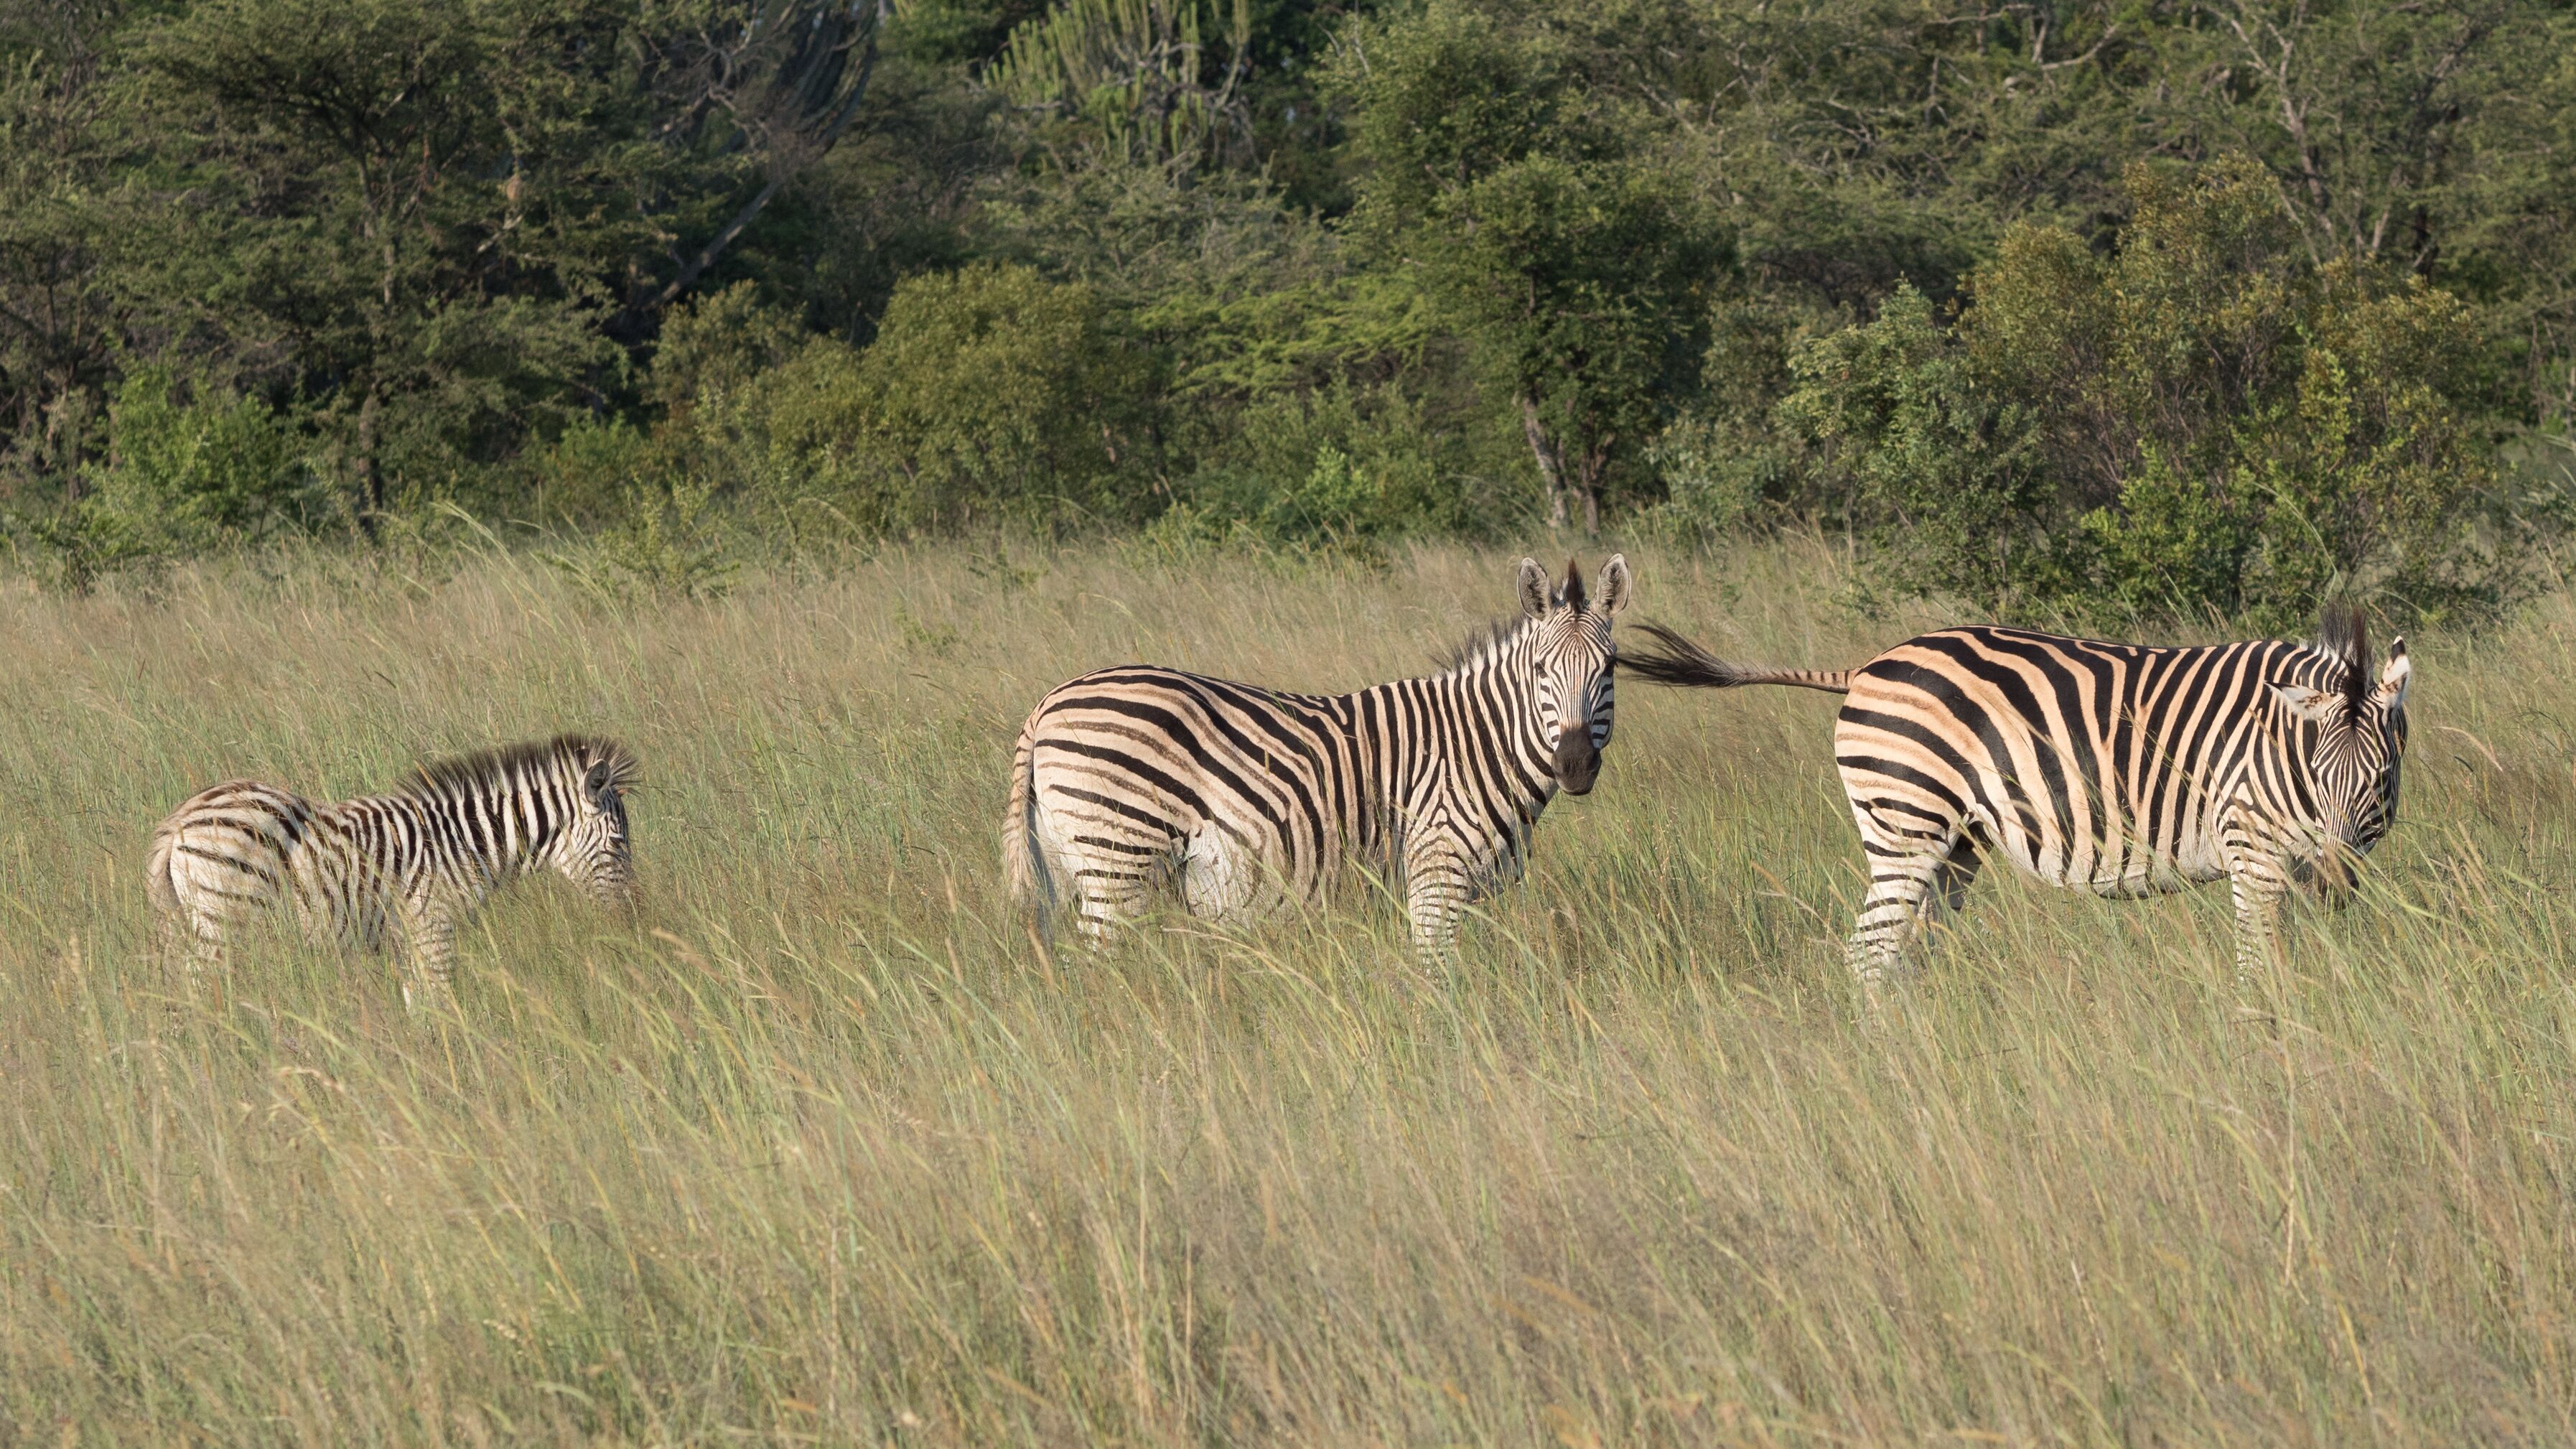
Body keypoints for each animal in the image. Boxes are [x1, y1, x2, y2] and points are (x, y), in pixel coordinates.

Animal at [147, 735, 639, 1005]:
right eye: (619, 844)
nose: (630, 921)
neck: (463, 844)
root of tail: (180, 819)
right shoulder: (433, 927)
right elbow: (439, 1005)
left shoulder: (409, 940)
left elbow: (416, 1005)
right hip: (223, 920)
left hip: (192, 921)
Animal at [1003, 556, 1631, 957]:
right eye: (1542, 670)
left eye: (1610, 668)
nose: (1574, 764)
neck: (1479, 744)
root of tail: (1046, 703)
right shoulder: (1437, 869)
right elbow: (1437, 975)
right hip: (1118, 860)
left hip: (1067, 865)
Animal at [1621, 606, 2410, 988]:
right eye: (2319, 772)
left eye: (2379, 779)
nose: (2341, 881)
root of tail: (1866, 666)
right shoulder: (2252, 848)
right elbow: (2262, 962)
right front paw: (2268, 1043)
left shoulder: (2307, 860)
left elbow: (2303, 954)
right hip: (1906, 824)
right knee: (1869, 951)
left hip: (1955, 842)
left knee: (1906, 949)